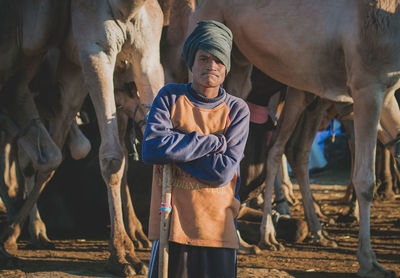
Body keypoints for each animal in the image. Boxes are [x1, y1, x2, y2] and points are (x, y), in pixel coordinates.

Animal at [188, 1, 400, 276]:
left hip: (241, 66)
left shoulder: (388, 89)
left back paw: (245, 241)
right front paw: (369, 262)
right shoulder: (367, 84)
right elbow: (365, 180)